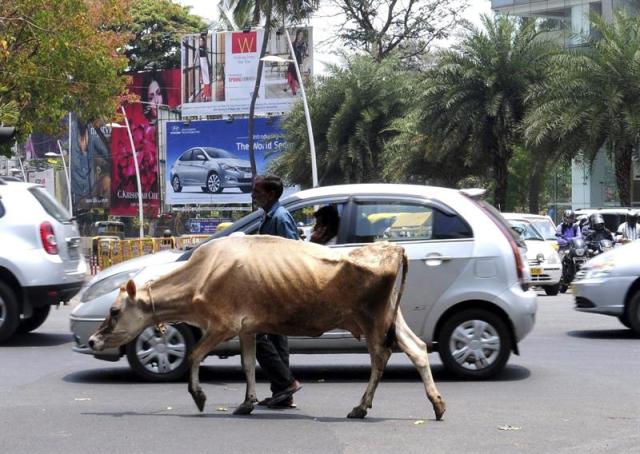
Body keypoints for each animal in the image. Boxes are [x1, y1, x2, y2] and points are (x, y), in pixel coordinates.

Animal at [89, 236, 444, 420]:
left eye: (114, 310)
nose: (93, 340)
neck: (201, 274)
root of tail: (392, 247)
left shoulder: (222, 324)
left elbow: (194, 356)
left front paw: (199, 396)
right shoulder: (247, 328)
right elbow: (248, 365)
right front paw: (247, 403)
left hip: (373, 320)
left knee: (381, 357)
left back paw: (360, 407)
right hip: (392, 319)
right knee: (417, 349)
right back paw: (437, 404)